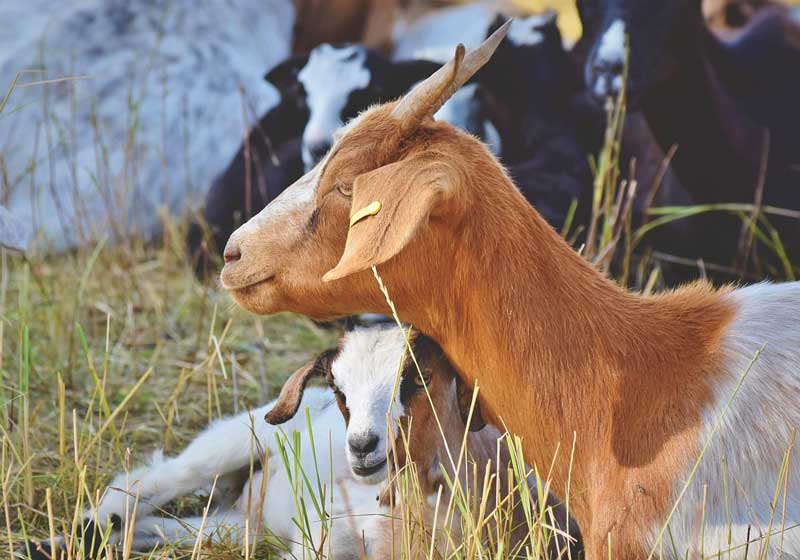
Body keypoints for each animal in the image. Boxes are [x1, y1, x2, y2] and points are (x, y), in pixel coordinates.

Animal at [25, 325, 578, 559]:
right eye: (339, 387)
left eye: (416, 378)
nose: (362, 446)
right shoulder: (323, 540)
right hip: (231, 441)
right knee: (150, 479)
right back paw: (88, 526)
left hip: (241, 527)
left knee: (177, 529)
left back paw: (77, 541)